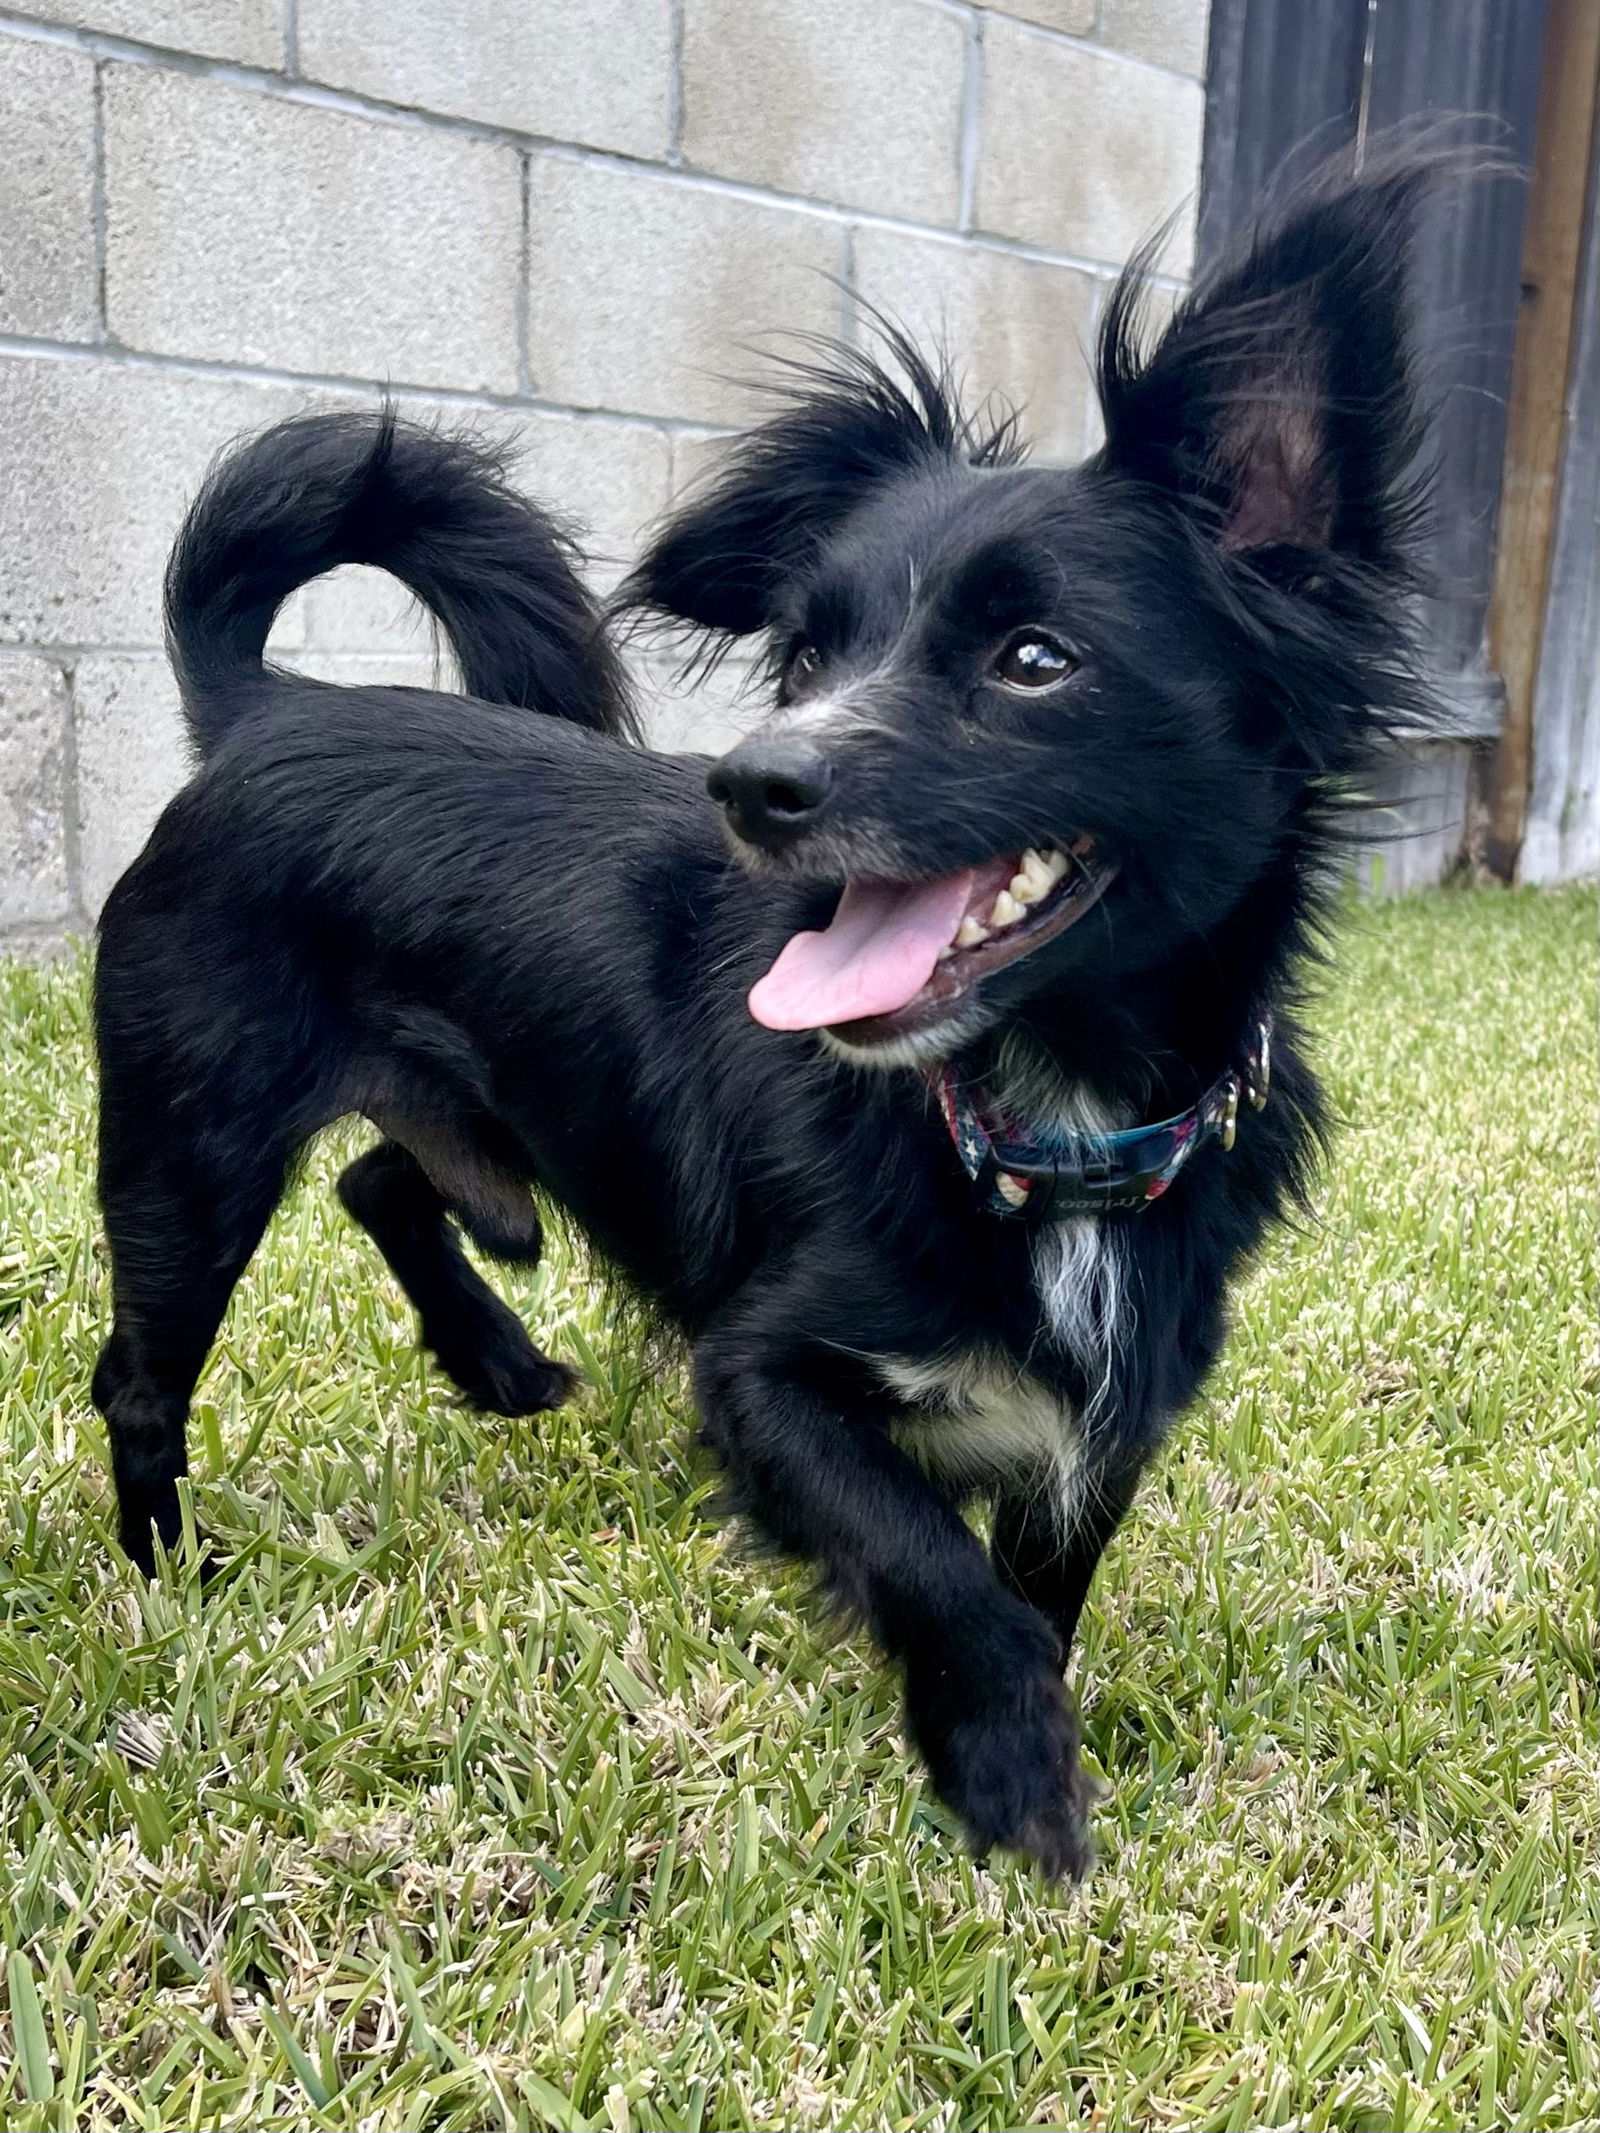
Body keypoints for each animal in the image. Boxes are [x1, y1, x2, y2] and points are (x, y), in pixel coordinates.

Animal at [93, 141, 1459, 1877]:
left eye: (1036, 659)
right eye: (807, 654)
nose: (751, 783)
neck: (1036, 1117)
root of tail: (264, 711)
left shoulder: (1103, 1425)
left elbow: (1041, 1587)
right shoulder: (760, 1379)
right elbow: (943, 1570)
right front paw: (1010, 1775)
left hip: (493, 1123)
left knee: (388, 1177)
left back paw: (497, 1363)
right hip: (188, 1143)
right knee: (144, 1372)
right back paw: (169, 1572)